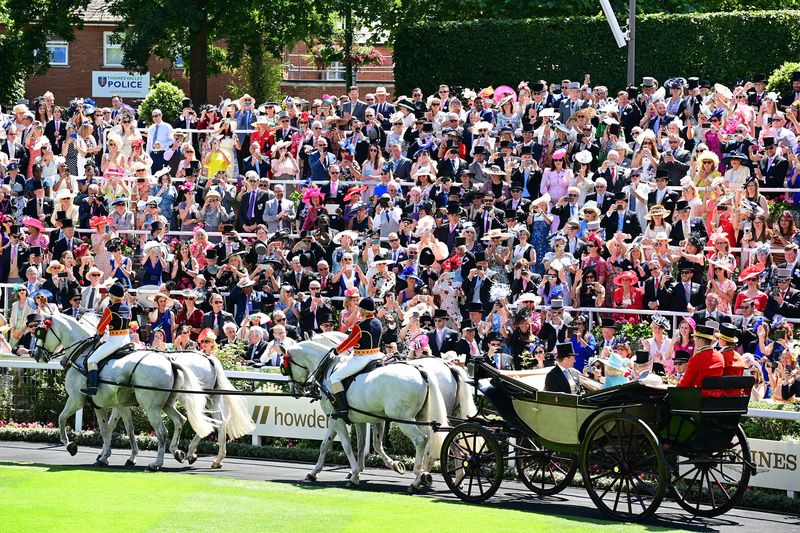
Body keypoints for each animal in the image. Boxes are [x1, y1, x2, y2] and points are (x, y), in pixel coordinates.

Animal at [33, 312, 217, 470]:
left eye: (40, 332)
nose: (36, 354)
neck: (84, 354)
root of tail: (170, 361)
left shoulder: (76, 400)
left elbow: (62, 418)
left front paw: (70, 445)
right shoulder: (112, 405)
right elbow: (118, 429)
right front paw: (113, 456)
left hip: (152, 409)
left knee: (162, 432)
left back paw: (157, 463)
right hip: (166, 405)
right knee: (180, 420)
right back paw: (178, 452)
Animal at [286, 332, 450, 490]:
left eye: (286, 366)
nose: (296, 391)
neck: (329, 368)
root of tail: (420, 370)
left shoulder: (337, 419)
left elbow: (346, 446)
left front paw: (354, 475)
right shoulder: (350, 418)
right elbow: (329, 444)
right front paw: (314, 472)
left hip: (404, 420)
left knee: (420, 440)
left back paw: (418, 475)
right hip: (421, 417)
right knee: (429, 440)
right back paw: (421, 477)